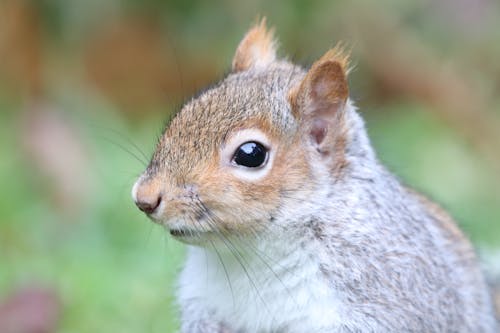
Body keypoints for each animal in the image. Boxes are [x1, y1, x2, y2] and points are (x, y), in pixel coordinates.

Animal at [131, 19, 498, 330]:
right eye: (182, 114)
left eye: (251, 154)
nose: (143, 197)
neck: (252, 253)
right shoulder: (205, 308)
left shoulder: (379, 298)